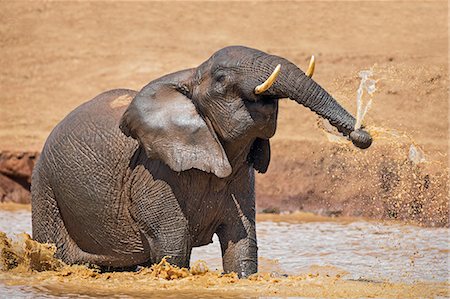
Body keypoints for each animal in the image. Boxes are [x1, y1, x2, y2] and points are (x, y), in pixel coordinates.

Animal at [31, 45, 372, 278]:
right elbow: (172, 241)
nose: (362, 136)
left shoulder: (240, 176)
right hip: (46, 187)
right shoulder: (153, 170)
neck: (191, 73)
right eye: (221, 79)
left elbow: (242, 240)